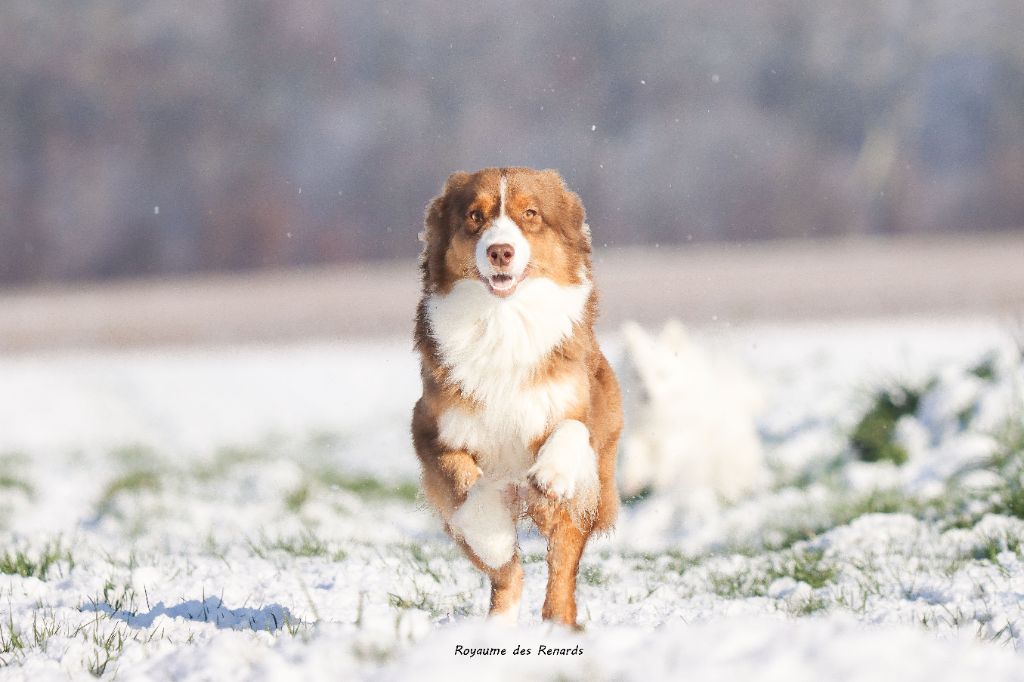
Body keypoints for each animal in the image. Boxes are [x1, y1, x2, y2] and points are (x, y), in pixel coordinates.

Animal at [409, 166, 618, 622]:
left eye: (530, 214)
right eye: (474, 216)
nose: (500, 252)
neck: (502, 321)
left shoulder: (579, 408)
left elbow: (571, 430)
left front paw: (551, 473)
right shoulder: (431, 428)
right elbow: (464, 483)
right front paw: (494, 535)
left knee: (561, 577)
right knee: (509, 577)